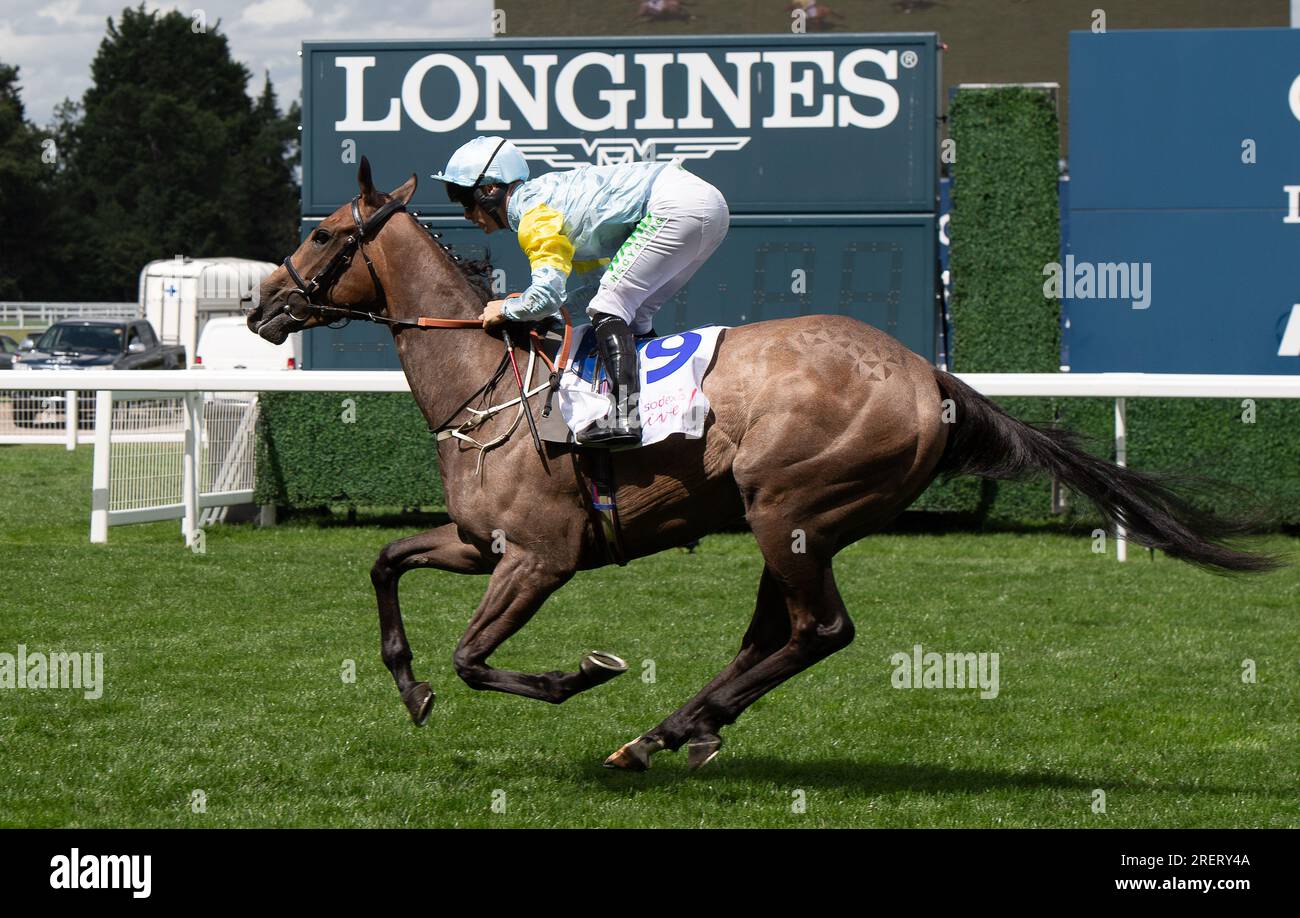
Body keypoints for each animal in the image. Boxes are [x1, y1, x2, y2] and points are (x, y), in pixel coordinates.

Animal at [248, 161, 1274, 769]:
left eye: (322, 234)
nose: (261, 307)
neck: (486, 383)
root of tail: (930, 374)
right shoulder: (479, 543)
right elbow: (385, 565)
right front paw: (408, 685)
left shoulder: (542, 556)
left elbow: (473, 657)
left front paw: (585, 672)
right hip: (791, 523)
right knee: (774, 635)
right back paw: (673, 732)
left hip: (791, 508)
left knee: (819, 632)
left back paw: (667, 730)